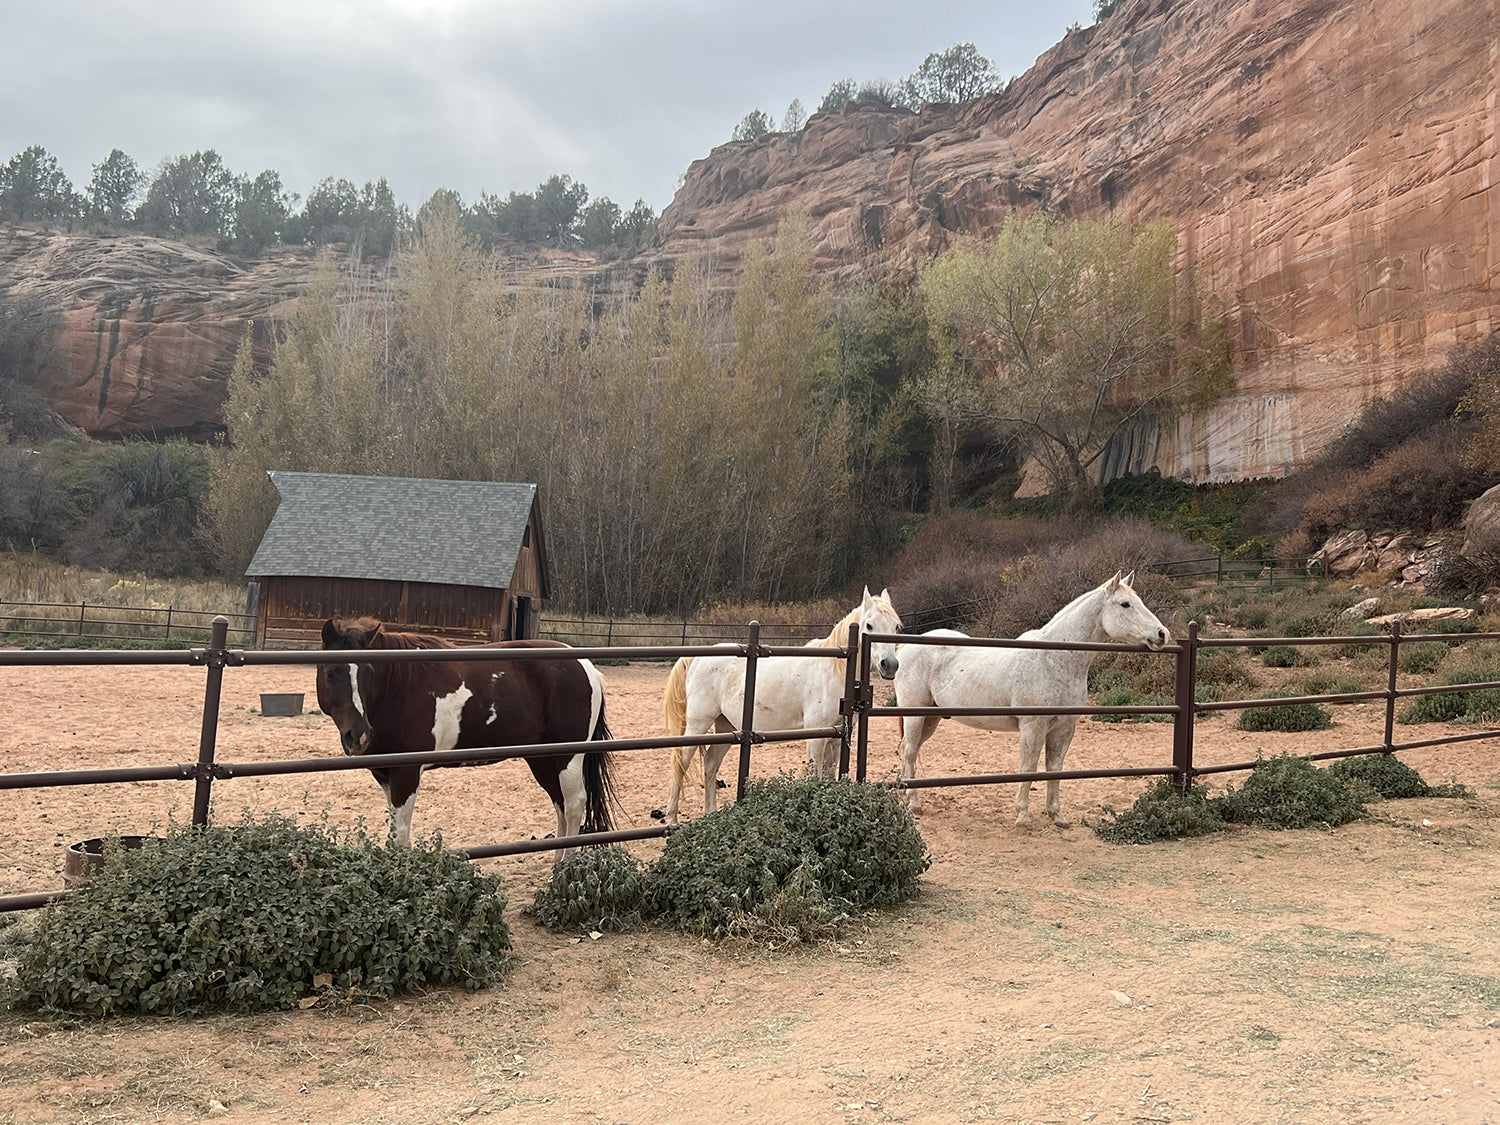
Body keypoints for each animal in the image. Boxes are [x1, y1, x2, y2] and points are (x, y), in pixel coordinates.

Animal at [313, 621, 618, 852]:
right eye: (331, 672)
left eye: (369, 671)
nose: (358, 736)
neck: (399, 687)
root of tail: (586, 666)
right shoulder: (386, 776)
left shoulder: (406, 774)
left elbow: (401, 838)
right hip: (541, 758)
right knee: (561, 805)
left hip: (568, 755)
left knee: (575, 804)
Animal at [660, 585, 894, 822]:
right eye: (869, 625)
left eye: (895, 627)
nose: (890, 665)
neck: (834, 669)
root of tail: (697, 658)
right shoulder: (816, 736)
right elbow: (815, 776)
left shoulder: (837, 738)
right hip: (698, 723)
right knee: (680, 762)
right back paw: (671, 819)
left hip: (726, 725)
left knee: (710, 763)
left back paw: (710, 813)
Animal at [888, 573, 1170, 828]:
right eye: (1125, 604)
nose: (1162, 634)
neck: (1054, 659)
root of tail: (904, 648)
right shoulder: (1032, 726)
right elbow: (1029, 766)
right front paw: (1022, 816)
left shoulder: (1063, 729)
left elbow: (1054, 768)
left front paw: (1057, 816)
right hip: (916, 714)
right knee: (910, 751)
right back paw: (914, 803)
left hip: (932, 717)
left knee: (908, 750)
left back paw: (905, 797)